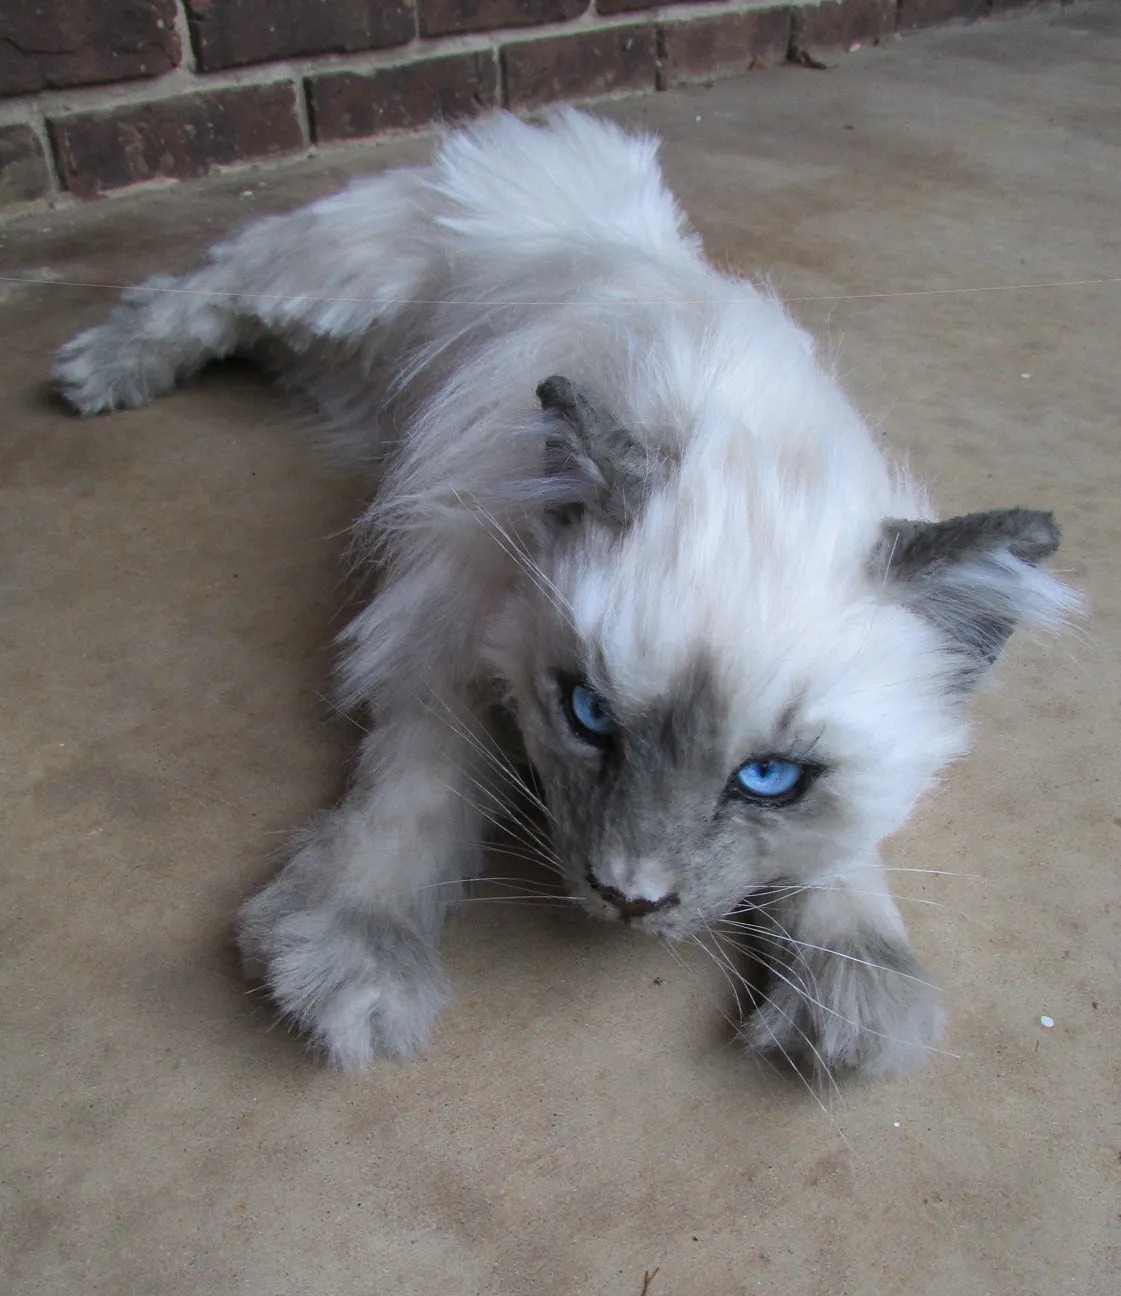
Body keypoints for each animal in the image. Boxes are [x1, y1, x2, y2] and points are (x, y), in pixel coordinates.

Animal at [54, 106, 1078, 1078]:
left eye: (768, 779)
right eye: (588, 716)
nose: (629, 898)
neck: (733, 436)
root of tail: (537, 137)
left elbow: (837, 856)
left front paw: (856, 995)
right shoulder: (444, 635)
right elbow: (413, 800)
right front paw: (351, 965)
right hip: (330, 282)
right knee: (198, 290)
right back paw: (99, 374)